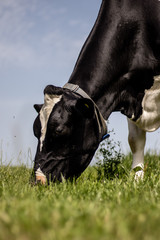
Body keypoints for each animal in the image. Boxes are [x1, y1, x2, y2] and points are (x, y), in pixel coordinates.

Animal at [32, 0, 160, 184]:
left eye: (59, 131)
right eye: (35, 131)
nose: (38, 180)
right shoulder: (129, 92)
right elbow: (135, 140)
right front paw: (137, 178)